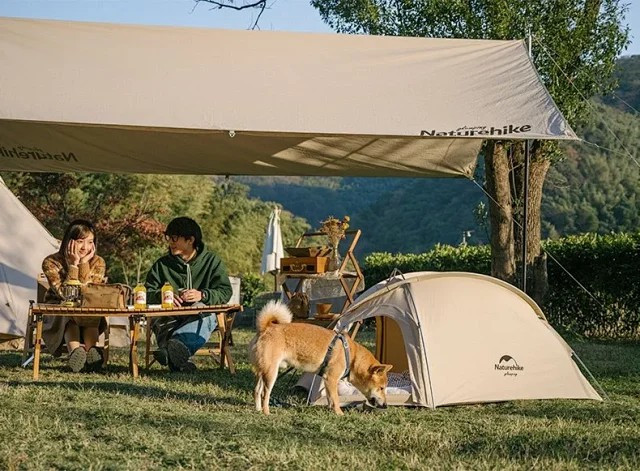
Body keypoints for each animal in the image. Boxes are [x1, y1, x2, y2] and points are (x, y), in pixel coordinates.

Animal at [249, 302, 390, 416]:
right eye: (382, 388)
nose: (385, 405)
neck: (351, 356)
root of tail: (266, 328)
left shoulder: (327, 380)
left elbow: (330, 398)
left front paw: (330, 410)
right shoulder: (331, 378)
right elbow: (336, 399)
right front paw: (339, 413)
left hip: (263, 371)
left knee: (256, 391)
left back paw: (258, 409)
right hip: (271, 373)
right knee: (265, 394)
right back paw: (266, 412)